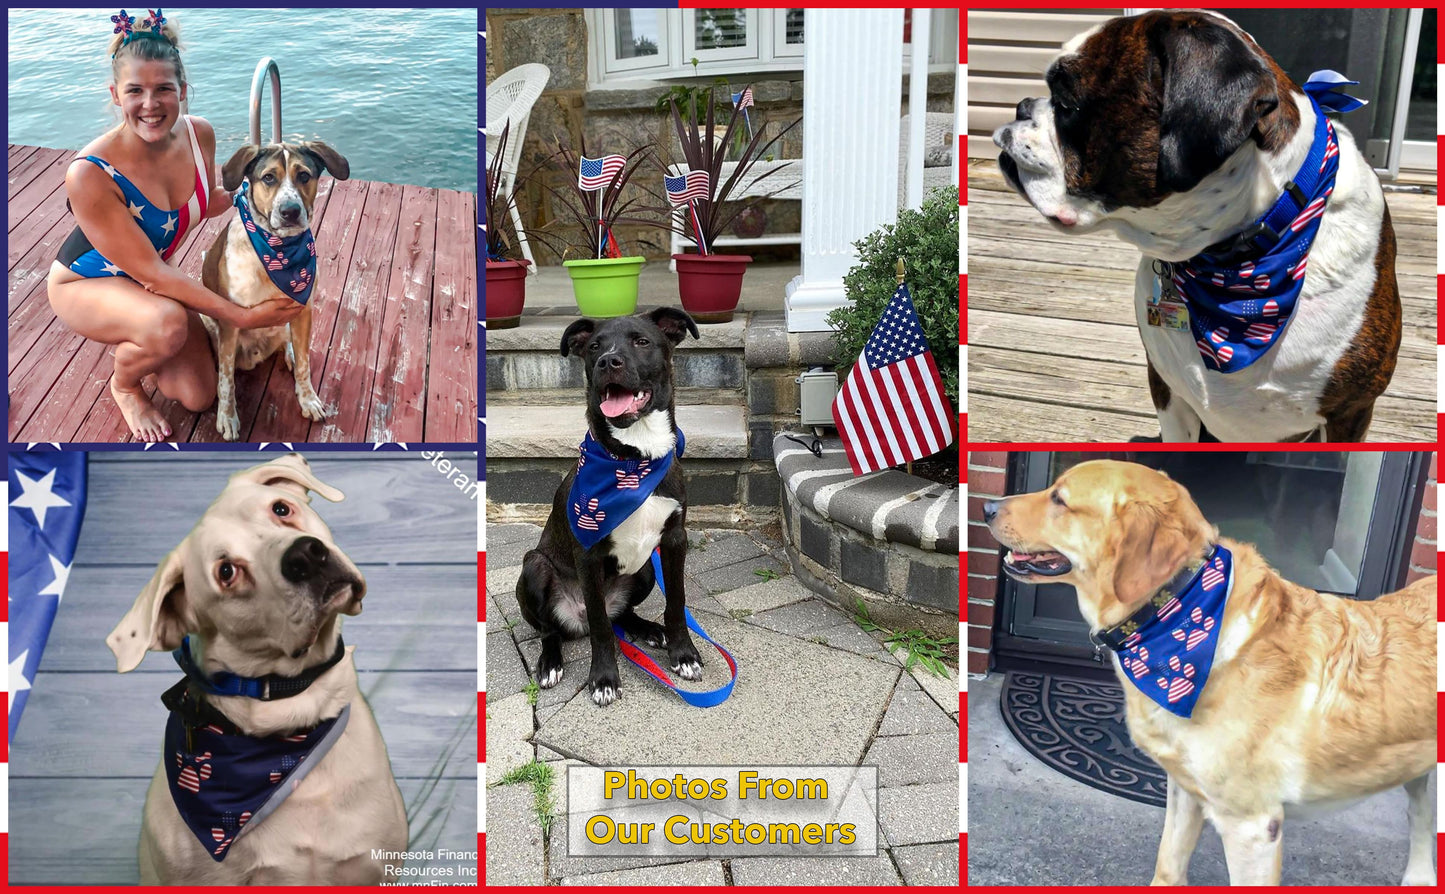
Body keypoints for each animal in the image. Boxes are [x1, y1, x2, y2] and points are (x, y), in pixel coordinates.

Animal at [200, 140, 349, 444]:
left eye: (304, 175)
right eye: (268, 177)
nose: (290, 211)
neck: (278, 251)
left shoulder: (302, 311)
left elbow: (304, 364)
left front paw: (308, 400)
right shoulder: (230, 323)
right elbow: (226, 381)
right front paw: (227, 417)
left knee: (289, 344)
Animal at [517, 307, 702, 707]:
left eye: (642, 341)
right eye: (594, 347)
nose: (607, 362)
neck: (635, 457)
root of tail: (576, 619)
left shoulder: (674, 539)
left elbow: (676, 601)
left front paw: (683, 653)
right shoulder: (588, 555)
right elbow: (602, 627)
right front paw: (603, 678)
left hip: (645, 569)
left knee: (622, 613)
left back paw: (648, 629)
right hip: (535, 565)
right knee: (552, 629)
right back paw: (550, 663)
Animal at [982, 462, 1433, 889]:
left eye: (1059, 499)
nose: (987, 508)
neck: (1177, 609)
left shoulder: (1252, 826)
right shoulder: (1185, 788)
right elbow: (1168, 864)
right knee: (1420, 817)